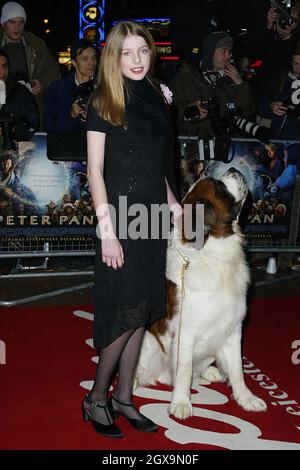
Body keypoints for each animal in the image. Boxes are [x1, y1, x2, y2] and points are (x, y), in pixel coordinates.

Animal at [135, 168, 266, 418]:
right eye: (218, 186)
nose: (234, 169)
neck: (214, 251)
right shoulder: (186, 332)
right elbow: (184, 369)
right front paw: (181, 403)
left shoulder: (233, 329)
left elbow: (238, 369)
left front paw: (246, 399)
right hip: (148, 340)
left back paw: (211, 373)